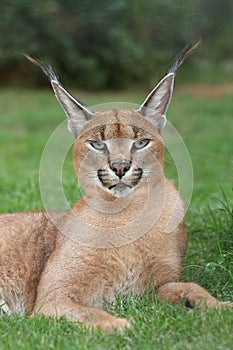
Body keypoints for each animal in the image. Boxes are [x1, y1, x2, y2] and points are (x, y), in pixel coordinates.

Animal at [0, 42, 231, 332]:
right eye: (97, 144)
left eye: (141, 142)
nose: (120, 167)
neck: (126, 214)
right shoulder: (53, 297)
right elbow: (91, 314)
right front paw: (127, 325)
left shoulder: (156, 287)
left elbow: (191, 287)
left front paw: (220, 306)